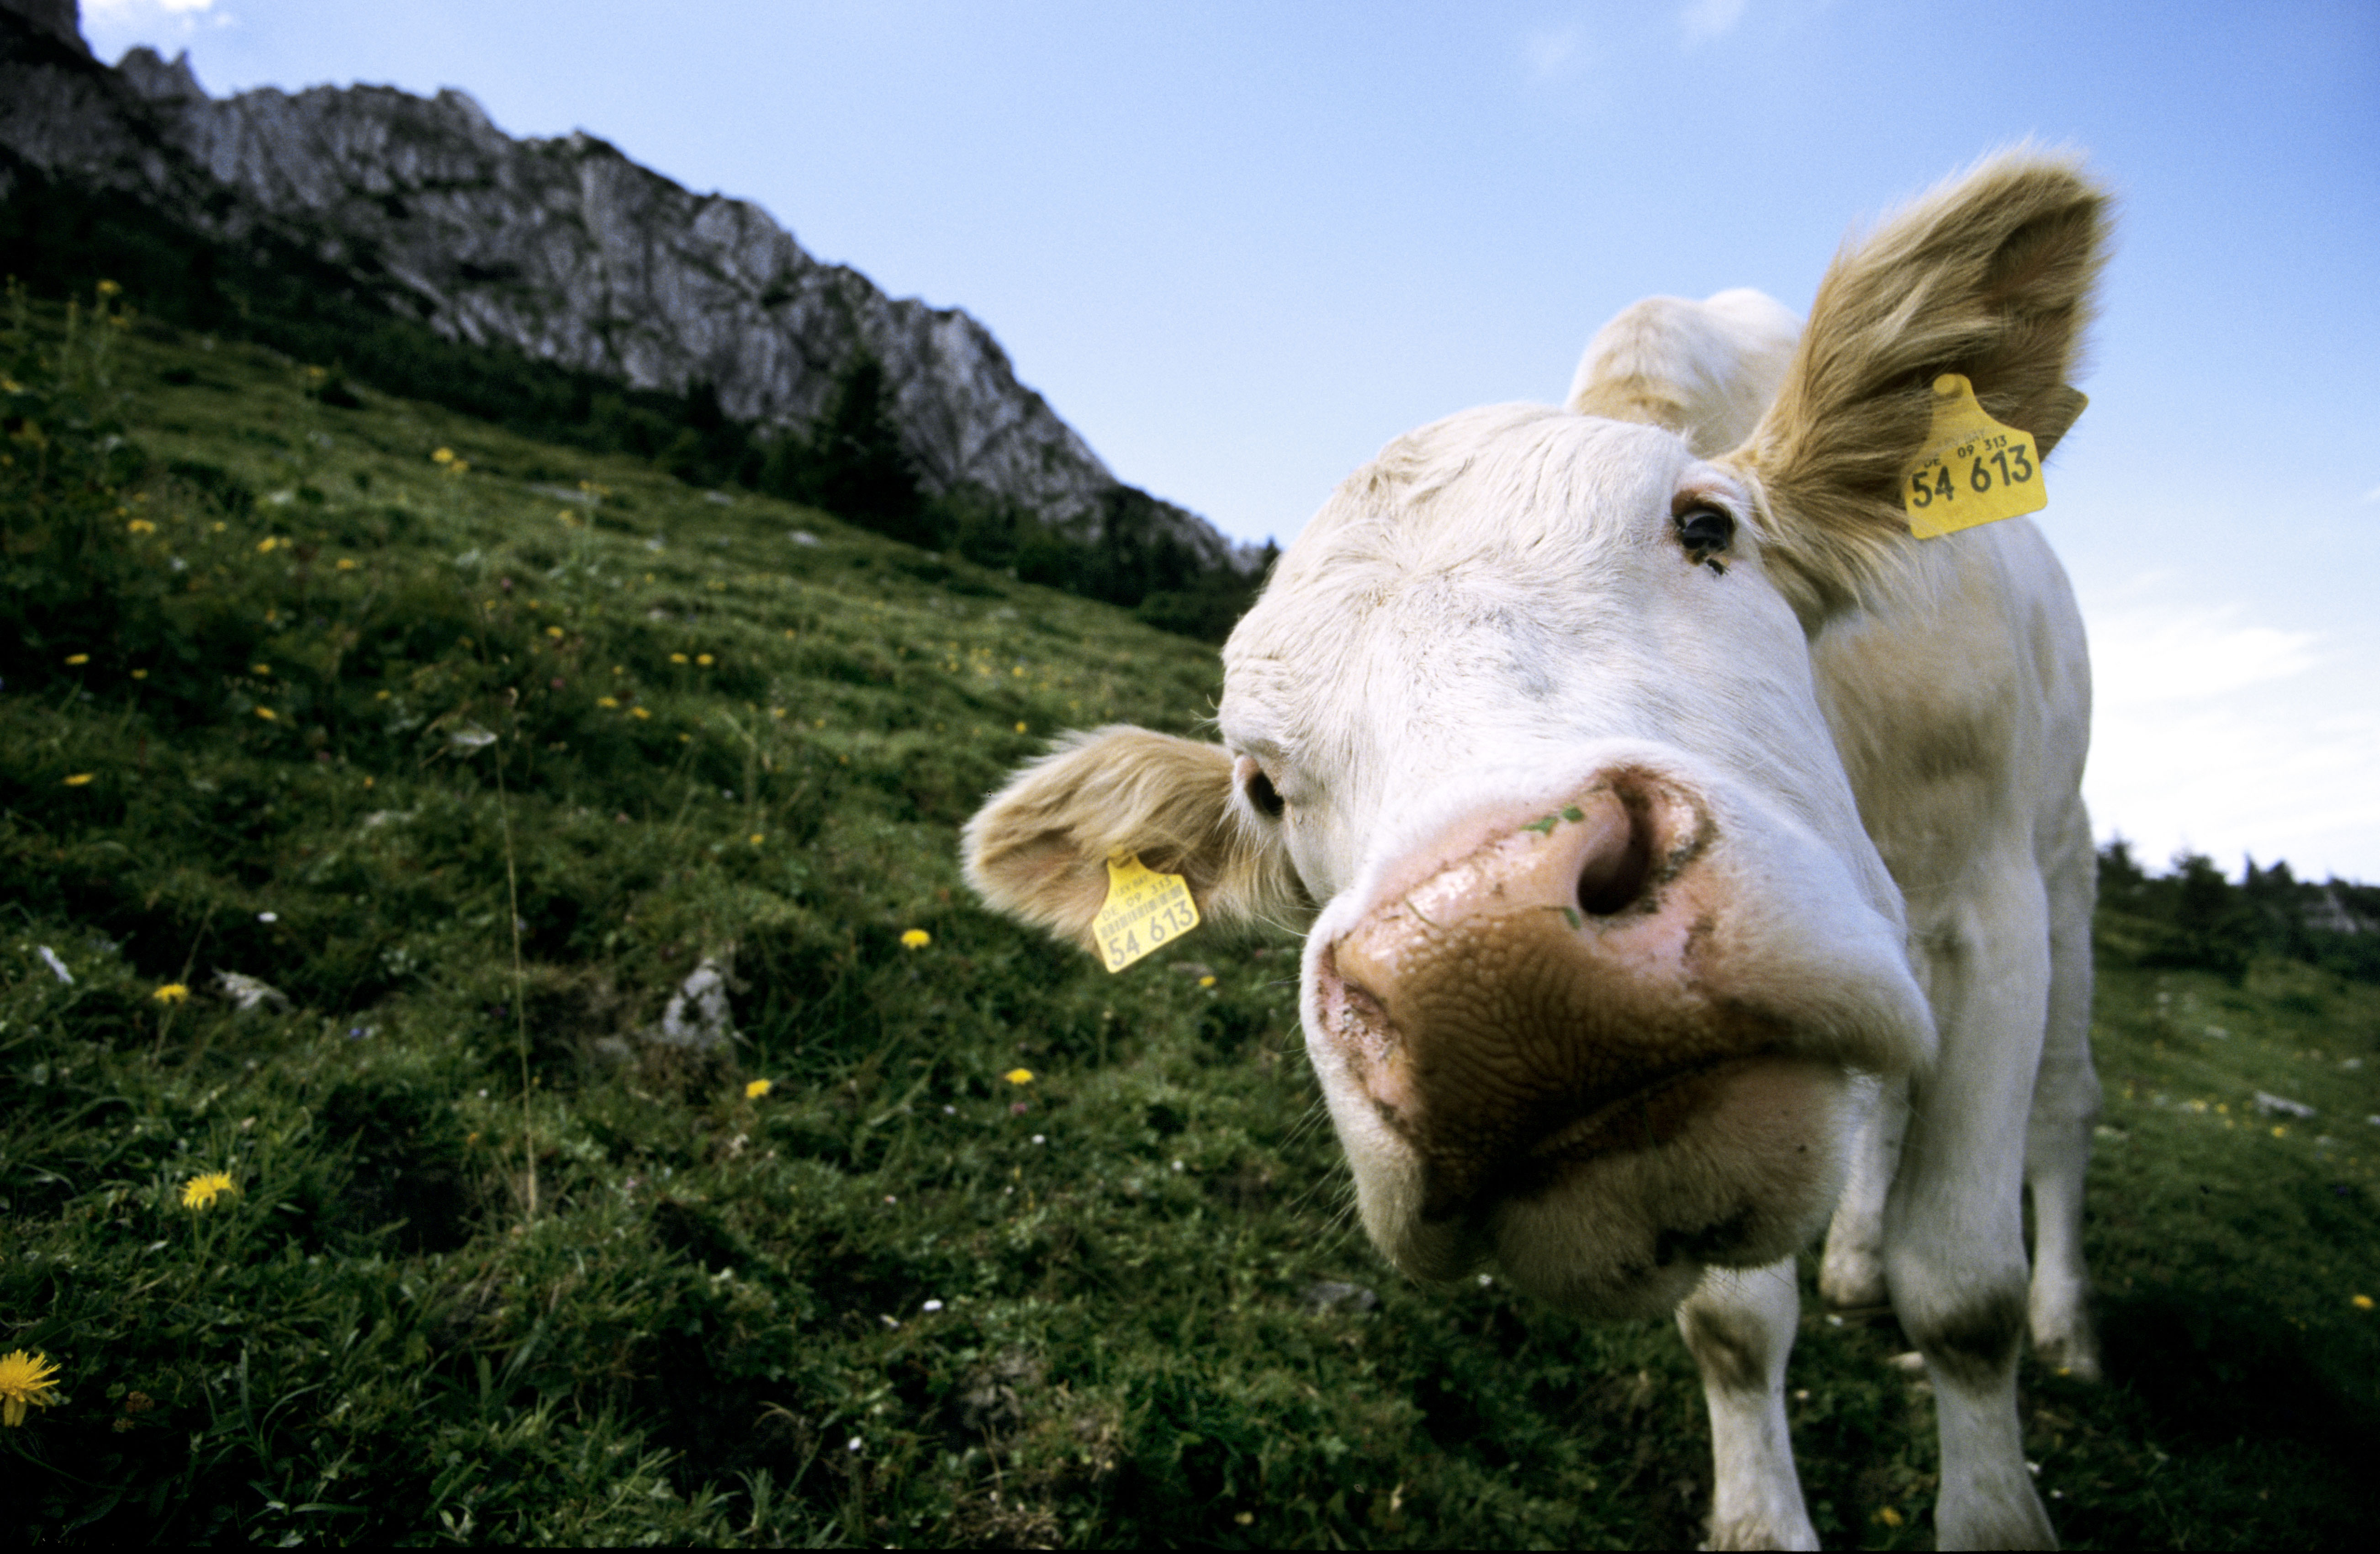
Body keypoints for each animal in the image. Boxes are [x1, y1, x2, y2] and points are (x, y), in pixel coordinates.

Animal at [966, 152, 2104, 1542]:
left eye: (1706, 527)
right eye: (1263, 786)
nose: (1487, 965)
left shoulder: (1992, 909)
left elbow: (1964, 1295)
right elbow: (1735, 1325)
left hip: (2066, 865)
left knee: (2063, 1107)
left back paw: (2068, 1326)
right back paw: (1850, 1258)